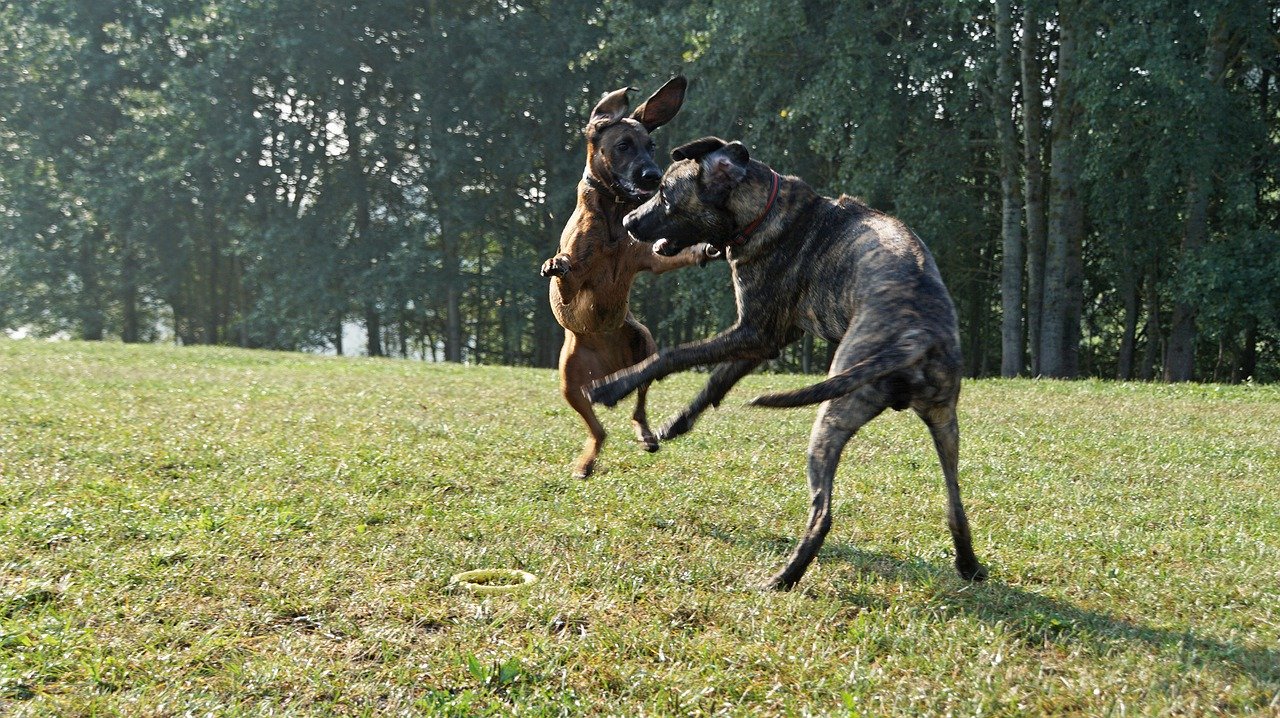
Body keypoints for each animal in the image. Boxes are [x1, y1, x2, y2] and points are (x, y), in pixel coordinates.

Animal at [540, 77, 721, 476]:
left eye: (651, 145)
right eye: (623, 145)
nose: (653, 176)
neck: (612, 213)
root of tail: (607, 369)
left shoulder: (648, 257)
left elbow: (670, 254)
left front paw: (705, 248)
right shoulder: (574, 284)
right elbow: (566, 276)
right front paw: (555, 263)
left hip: (643, 344)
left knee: (638, 406)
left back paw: (646, 435)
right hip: (569, 381)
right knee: (598, 430)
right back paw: (586, 462)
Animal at [588, 134, 988, 588]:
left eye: (666, 196)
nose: (627, 222)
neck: (764, 211)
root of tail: (915, 334)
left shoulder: (753, 330)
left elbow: (672, 355)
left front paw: (613, 386)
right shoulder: (767, 338)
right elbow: (717, 380)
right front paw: (677, 423)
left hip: (833, 416)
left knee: (823, 513)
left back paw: (784, 578)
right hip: (944, 423)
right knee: (956, 504)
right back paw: (969, 565)